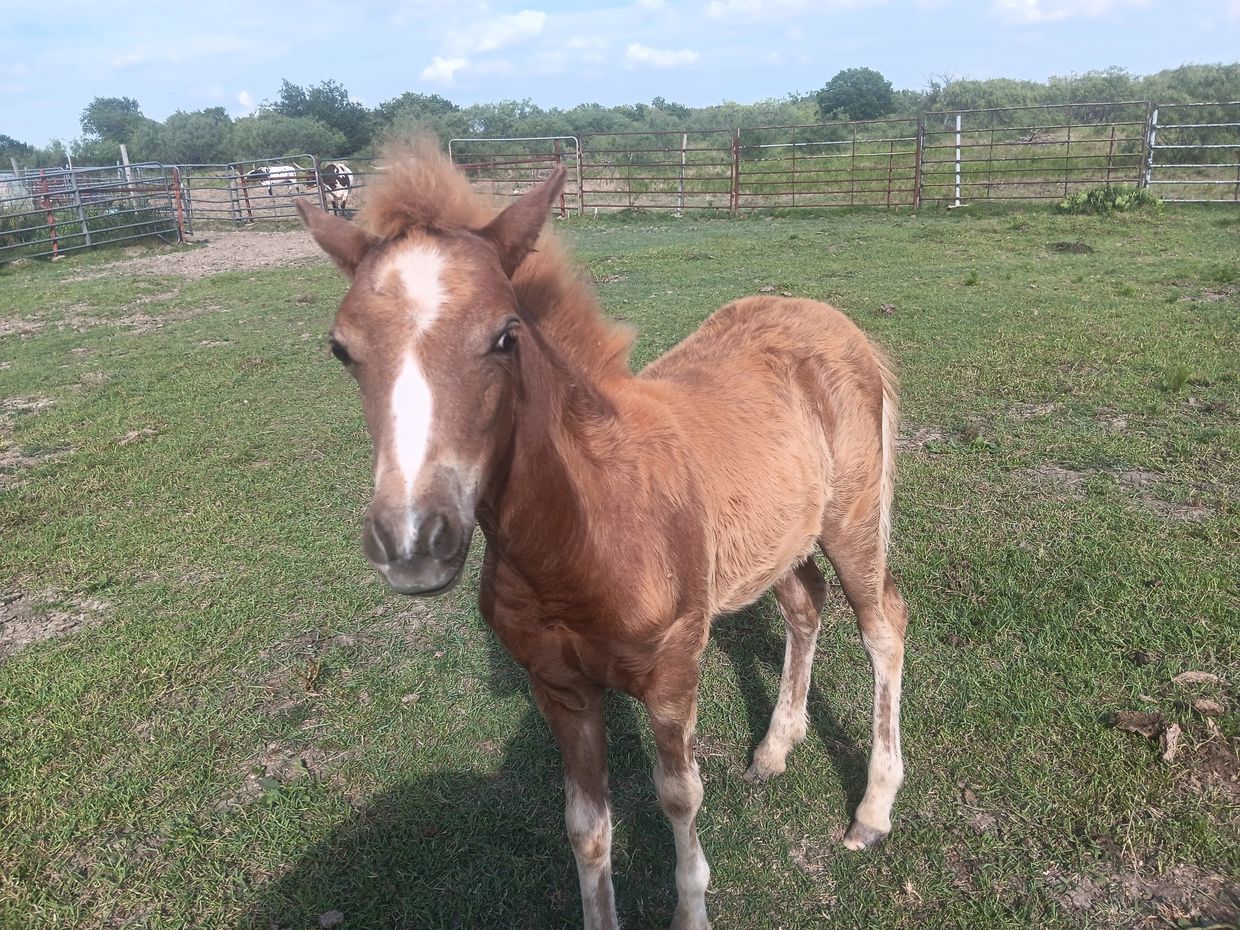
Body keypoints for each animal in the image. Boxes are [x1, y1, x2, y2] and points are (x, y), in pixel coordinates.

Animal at [295, 145, 908, 930]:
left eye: (505, 336)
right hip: (782, 535)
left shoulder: (674, 674)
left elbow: (679, 796)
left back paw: (873, 811)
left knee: (884, 624)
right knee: (806, 604)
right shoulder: (559, 688)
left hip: (852, 520)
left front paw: (692, 910)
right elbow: (587, 828)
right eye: (341, 349)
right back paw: (775, 748)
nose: (413, 540)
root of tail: (831, 319)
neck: (579, 541)